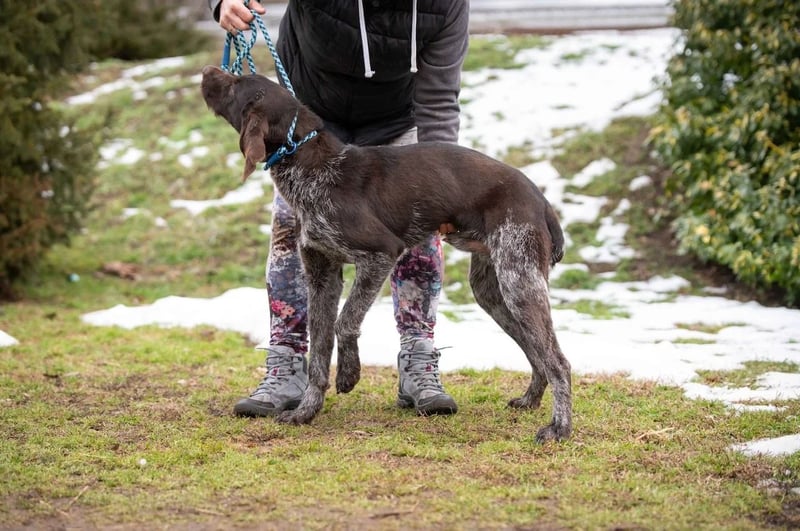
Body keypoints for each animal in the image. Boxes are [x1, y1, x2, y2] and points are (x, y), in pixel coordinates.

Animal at [201, 65, 572, 442]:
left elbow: (346, 321)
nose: (208, 70)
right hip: (494, 291)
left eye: (234, 85)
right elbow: (318, 352)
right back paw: (530, 399)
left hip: (518, 281)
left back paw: (559, 427)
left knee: (559, 361)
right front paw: (307, 411)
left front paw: (349, 373)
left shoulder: (380, 254)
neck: (312, 168)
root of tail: (540, 199)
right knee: (537, 353)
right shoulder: (321, 276)